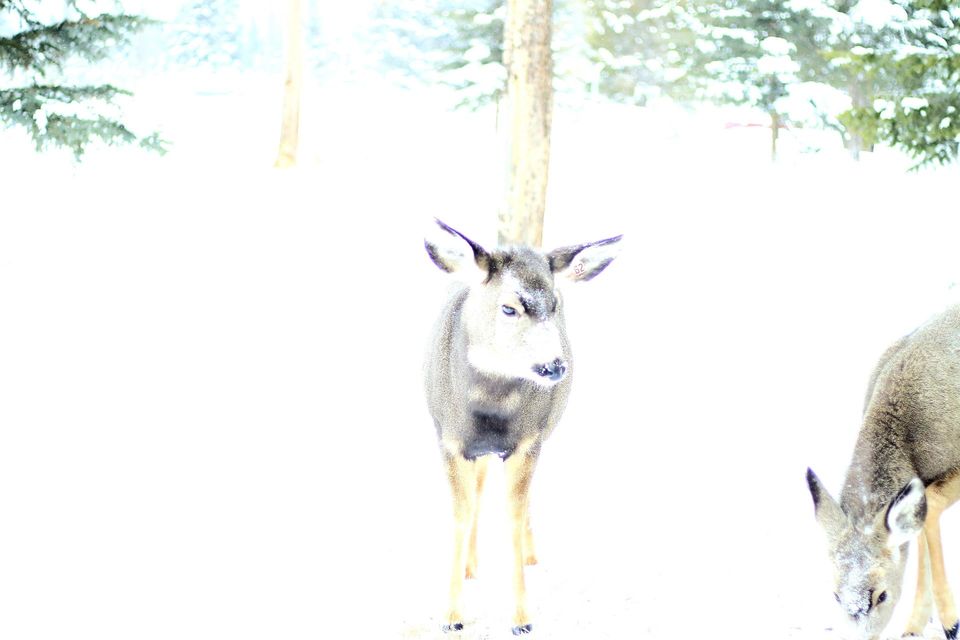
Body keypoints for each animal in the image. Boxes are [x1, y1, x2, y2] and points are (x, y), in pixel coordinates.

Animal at [423, 219, 622, 635]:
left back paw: (528, 556)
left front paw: (522, 619)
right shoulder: (448, 439)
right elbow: (461, 514)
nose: (554, 366)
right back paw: (470, 567)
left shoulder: (529, 440)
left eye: (555, 305)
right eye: (509, 307)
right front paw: (451, 616)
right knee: (479, 491)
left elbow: (513, 515)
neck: (490, 411)